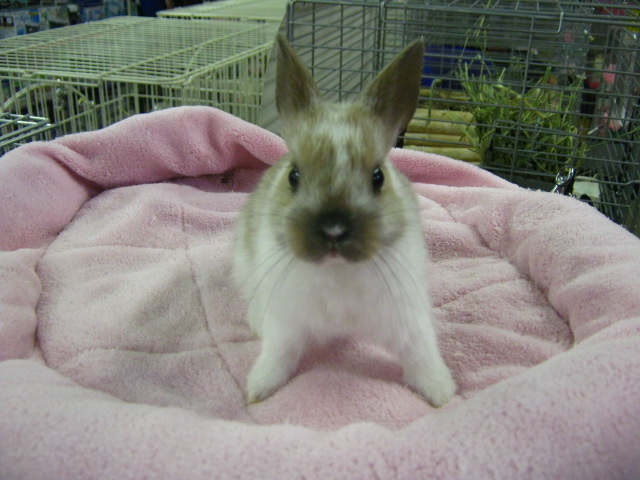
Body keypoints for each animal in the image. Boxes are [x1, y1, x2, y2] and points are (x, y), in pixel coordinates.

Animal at [233, 34, 457, 408]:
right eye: (294, 175)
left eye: (378, 176)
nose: (333, 230)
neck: (337, 271)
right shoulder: (286, 323)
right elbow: (278, 354)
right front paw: (258, 388)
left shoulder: (408, 320)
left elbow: (421, 355)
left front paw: (441, 393)